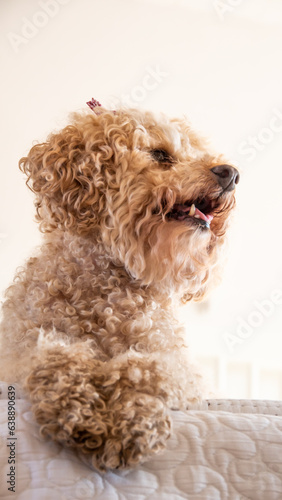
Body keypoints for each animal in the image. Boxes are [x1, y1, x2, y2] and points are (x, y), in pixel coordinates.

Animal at [0, 102, 238, 472]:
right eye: (160, 155)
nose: (230, 173)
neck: (108, 292)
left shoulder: (181, 369)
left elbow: (146, 369)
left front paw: (131, 422)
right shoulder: (19, 356)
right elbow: (57, 359)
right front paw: (82, 412)